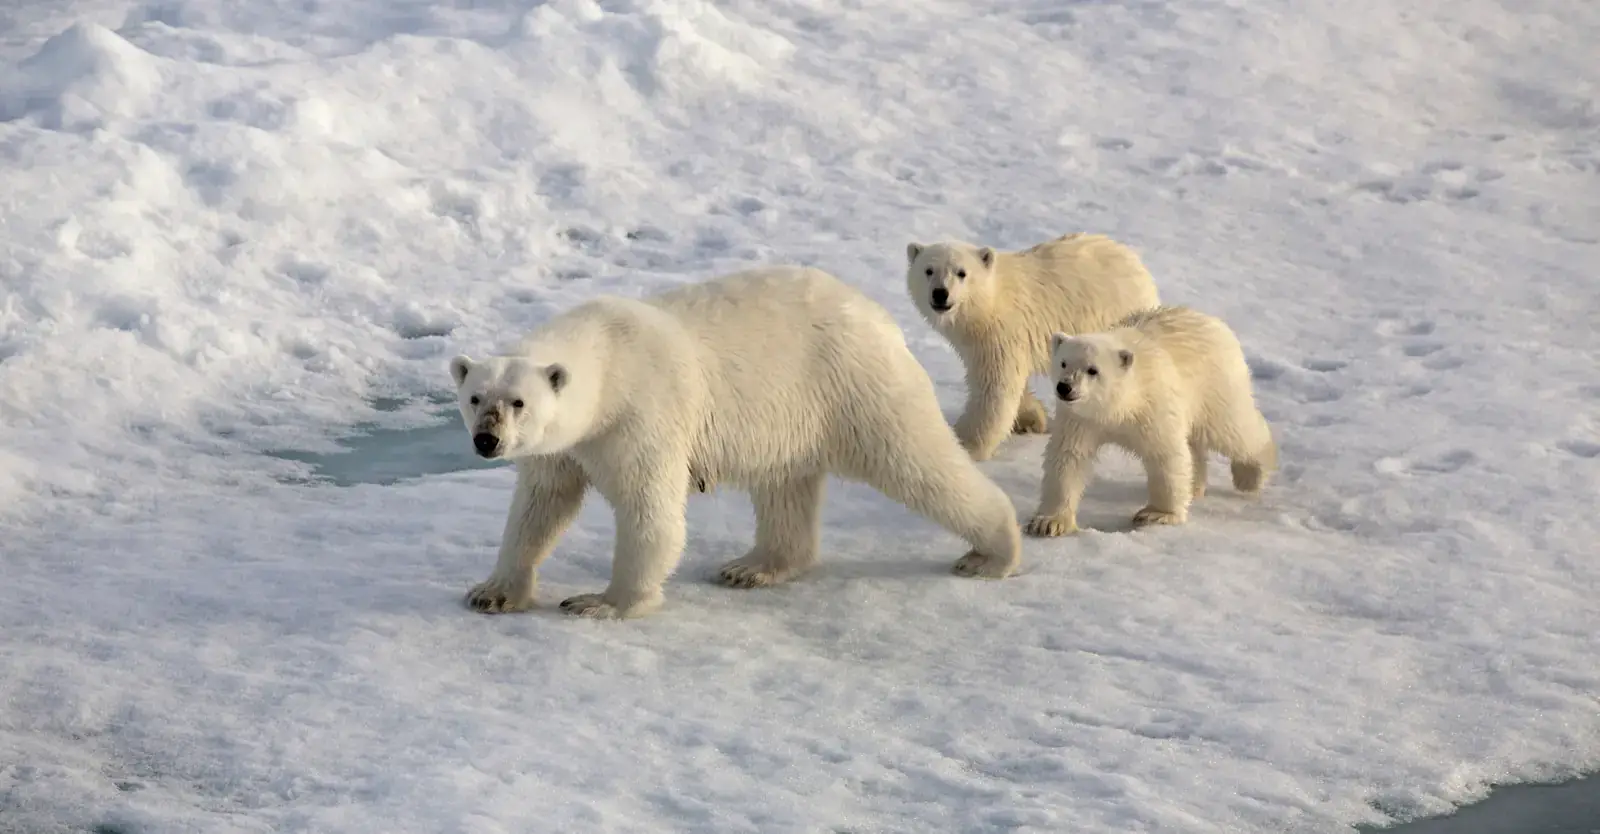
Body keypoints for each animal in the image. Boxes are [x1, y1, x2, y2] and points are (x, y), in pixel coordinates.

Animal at [450, 265, 1024, 620]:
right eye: (476, 397)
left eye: (518, 402)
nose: (487, 440)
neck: (609, 356)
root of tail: (877, 315)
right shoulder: (565, 447)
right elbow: (540, 506)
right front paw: (493, 593)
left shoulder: (642, 415)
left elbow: (650, 510)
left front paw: (602, 602)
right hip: (793, 413)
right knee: (785, 487)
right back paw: (752, 567)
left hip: (854, 383)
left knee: (918, 462)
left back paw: (991, 553)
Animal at [905, 232, 1162, 462]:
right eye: (928, 270)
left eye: (961, 273)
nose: (940, 293)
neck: (989, 304)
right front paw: (1032, 419)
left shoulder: (1002, 331)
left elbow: (995, 387)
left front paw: (968, 444)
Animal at [1024, 305, 1277, 536]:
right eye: (1063, 363)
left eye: (1092, 370)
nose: (1065, 387)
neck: (1121, 404)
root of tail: (1215, 322)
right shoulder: (1080, 419)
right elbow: (1068, 458)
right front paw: (1049, 522)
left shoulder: (1153, 407)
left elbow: (1165, 454)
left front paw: (1157, 514)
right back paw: (1195, 487)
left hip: (1215, 386)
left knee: (1233, 430)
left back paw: (1251, 476)